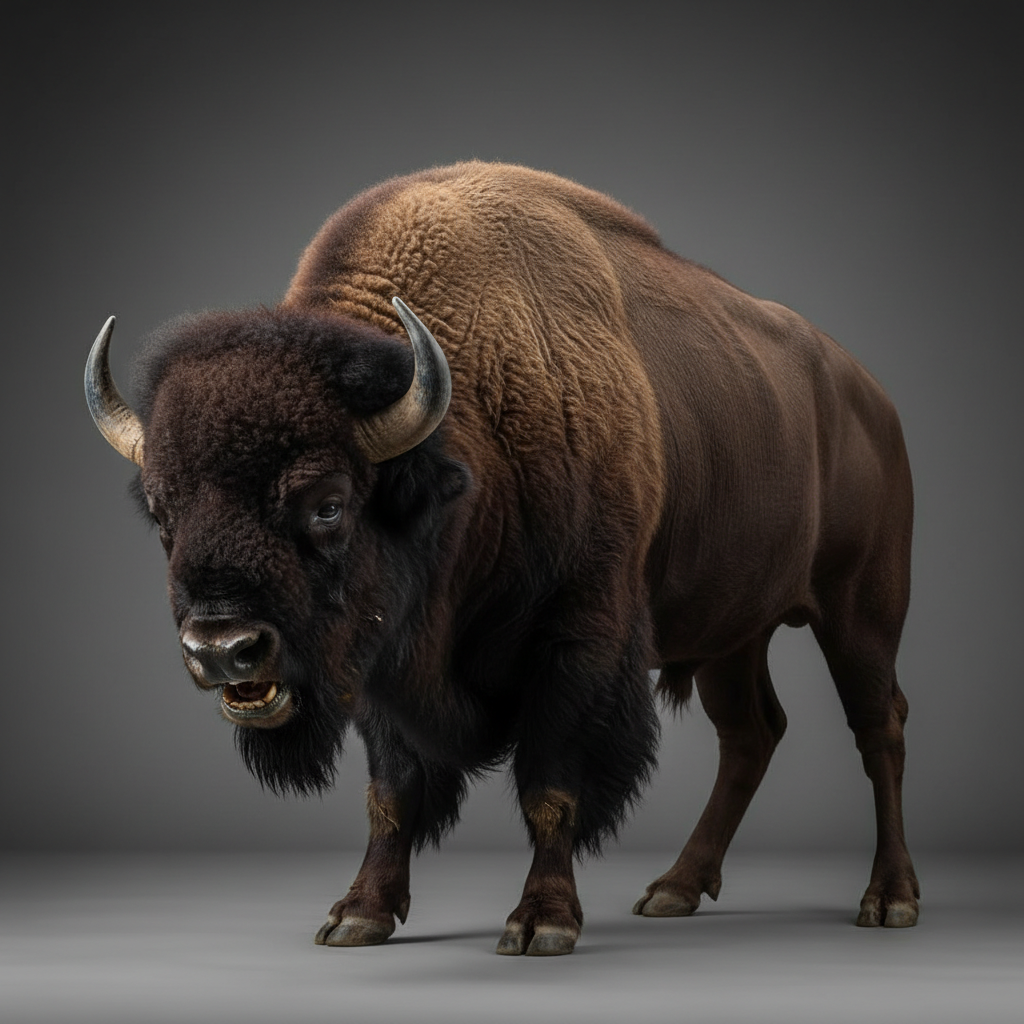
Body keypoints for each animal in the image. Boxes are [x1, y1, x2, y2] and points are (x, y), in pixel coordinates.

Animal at [85, 162, 919, 955]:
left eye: (327, 503)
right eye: (162, 513)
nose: (221, 648)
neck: (461, 445)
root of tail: (871, 397)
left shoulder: (578, 642)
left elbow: (550, 787)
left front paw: (540, 924)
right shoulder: (387, 662)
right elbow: (391, 794)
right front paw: (359, 915)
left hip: (861, 615)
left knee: (878, 727)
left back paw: (889, 901)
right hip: (731, 633)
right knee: (751, 733)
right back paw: (675, 889)